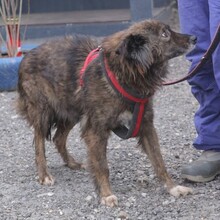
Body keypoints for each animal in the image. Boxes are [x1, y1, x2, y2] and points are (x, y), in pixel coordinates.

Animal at [17, 19, 196, 206]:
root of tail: (26, 56)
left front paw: (173, 187)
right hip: (43, 112)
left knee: (58, 138)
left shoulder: (145, 124)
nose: (194, 38)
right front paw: (106, 194)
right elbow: (102, 166)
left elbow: (159, 160)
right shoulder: (96, 130)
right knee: (39, 142)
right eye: (164, 34)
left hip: (72, 109)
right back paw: (44, 174)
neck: (123, 73)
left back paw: (72, 163)